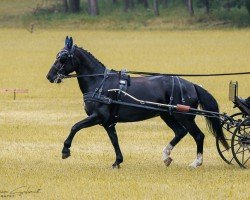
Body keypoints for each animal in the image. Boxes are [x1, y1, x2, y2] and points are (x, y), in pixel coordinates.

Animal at [46, 36, 229, 169]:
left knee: (198, 135)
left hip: (184, 116)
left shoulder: (98, 116)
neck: (99, 83)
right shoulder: (108, 122)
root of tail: (192, 85)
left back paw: (196, 162)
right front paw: (117, 161)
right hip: (167, 115)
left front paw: (65, 150)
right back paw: (166, 156)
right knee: (180, 132)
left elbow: (75, 127)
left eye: (62, 57)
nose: (49, 76)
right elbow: (114, 140)